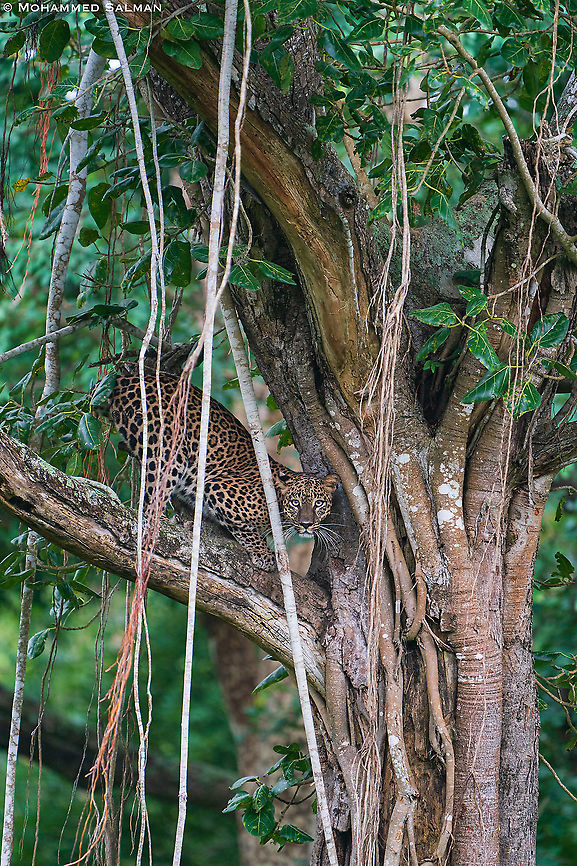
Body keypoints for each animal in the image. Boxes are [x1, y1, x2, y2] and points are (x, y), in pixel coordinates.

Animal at [95, 367, 340, 571]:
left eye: (318, 503)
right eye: (295, 503)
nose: (306, 524)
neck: (275, 501)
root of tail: (125, 378)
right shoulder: (217, 488)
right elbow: (247, 530)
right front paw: (263, 554)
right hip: (167, 449)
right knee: (149, 504)